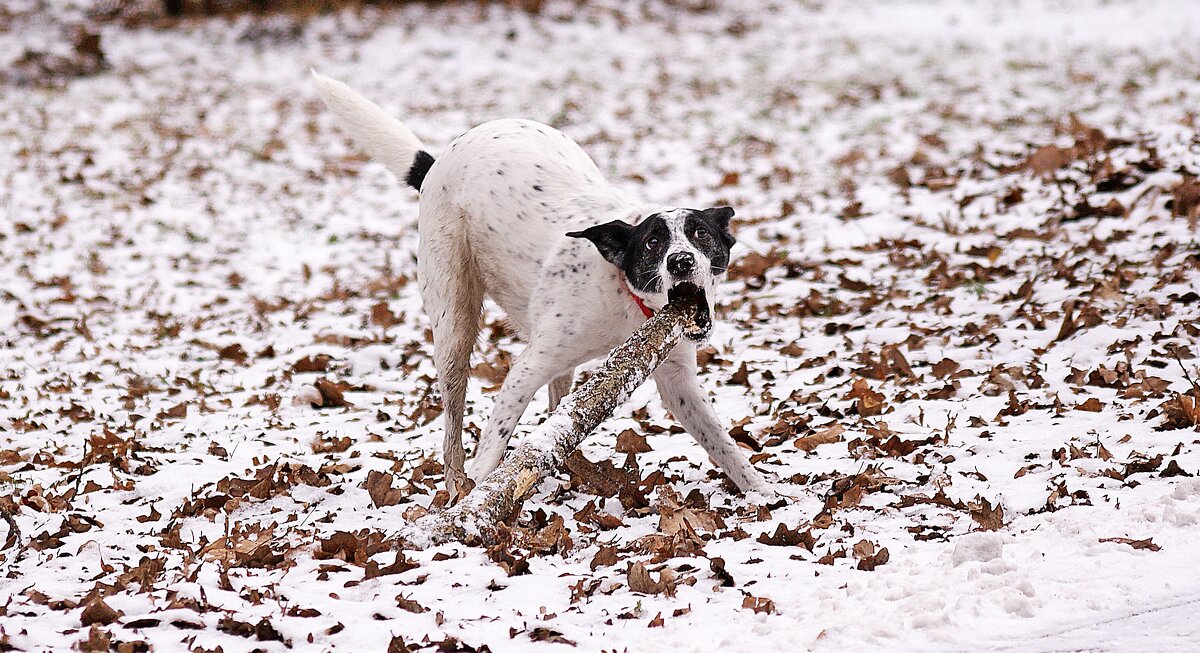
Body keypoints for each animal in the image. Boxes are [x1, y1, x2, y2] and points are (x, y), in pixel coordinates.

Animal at [312, 71, 768, 496]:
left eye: (700, 234)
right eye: (653, 243)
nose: (681, 261)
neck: (624, 297)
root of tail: (440, 160)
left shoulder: (677, 380)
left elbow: (725, 446)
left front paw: (764, 495)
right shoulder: (528, 368)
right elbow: (494, 442)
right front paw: (475, 501)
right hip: (454, 327)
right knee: (453, 425)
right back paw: (458, 484)